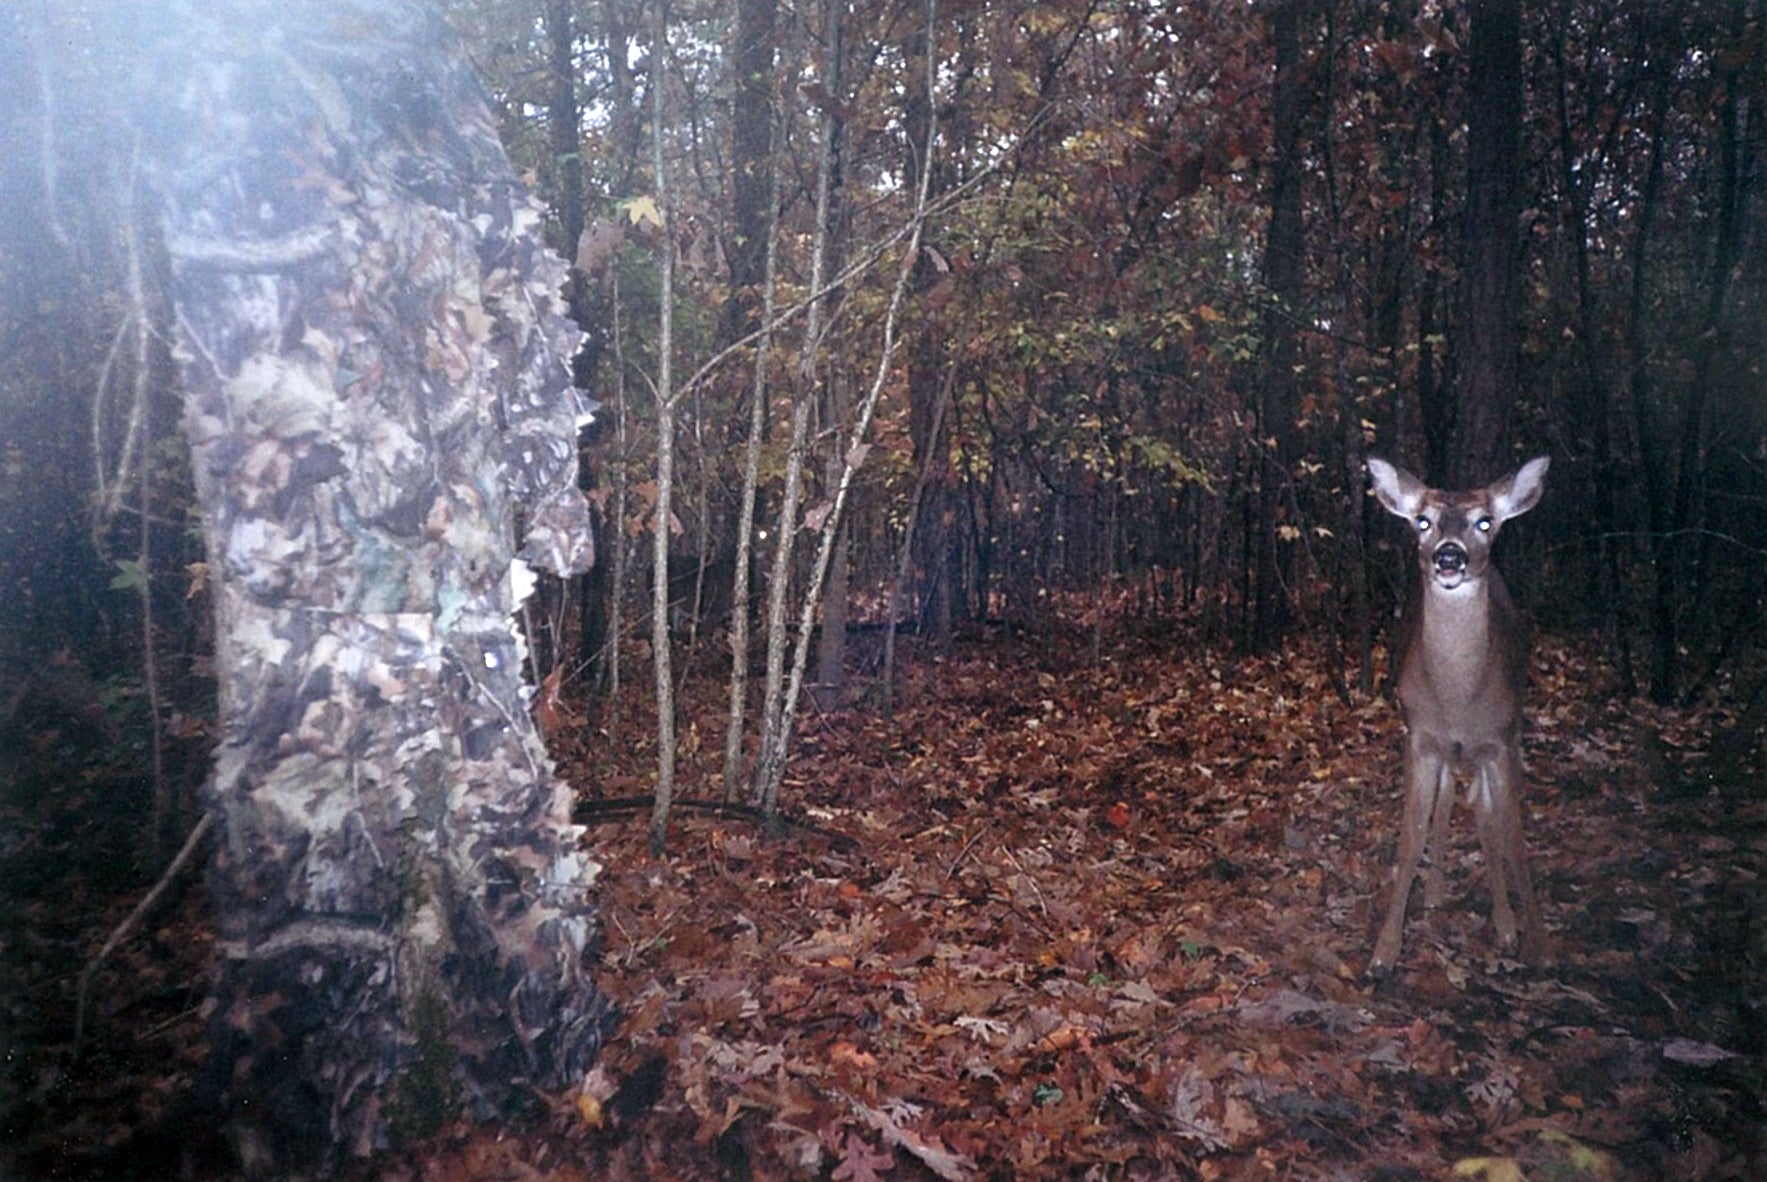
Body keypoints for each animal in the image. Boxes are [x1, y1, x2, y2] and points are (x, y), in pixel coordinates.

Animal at [1364, 455, 1547, 975]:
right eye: (1422, 521)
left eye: (1485, 522)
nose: (1449, 557)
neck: (1459, 701)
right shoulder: (1421, 736)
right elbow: (1410, 837)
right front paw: (1384, 951)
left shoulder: (1500, 740)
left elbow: (1510, 832)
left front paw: (1534, 942)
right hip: (1445, 749)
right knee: (1447, 803)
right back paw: (1436, 891)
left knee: (1486, 817)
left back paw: (1503, 923)